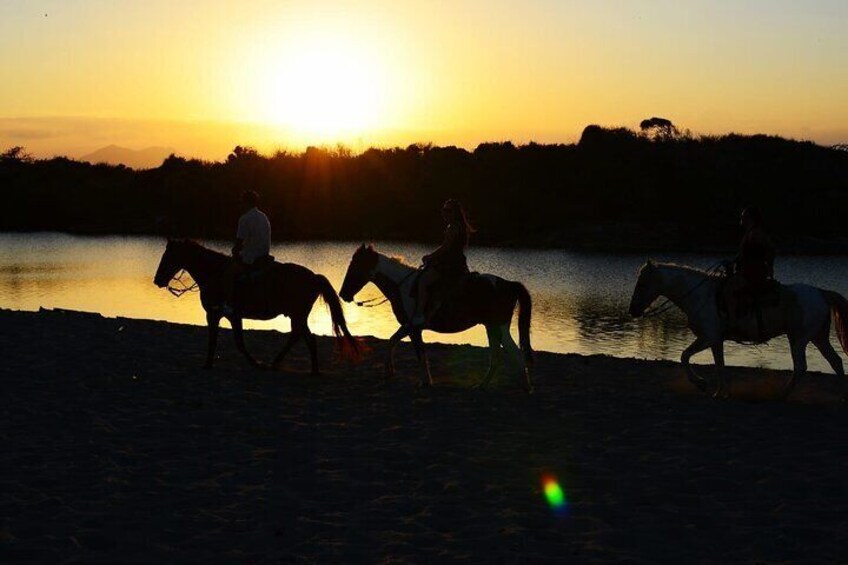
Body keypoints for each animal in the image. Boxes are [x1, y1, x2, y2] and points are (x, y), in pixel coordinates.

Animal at [152, 240, 358, 372]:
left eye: (167, 257)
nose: (157, 280)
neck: (215, 272)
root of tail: (314, 277)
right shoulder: (228, 316)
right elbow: (228, 340)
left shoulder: (218, 314)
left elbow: (230, 342)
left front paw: (211, 364)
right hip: (297, 315)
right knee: (303, 337)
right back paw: (307, 368)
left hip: (297, 315)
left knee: (301, 337)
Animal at [336, 245, 528, 390]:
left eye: (355, 267)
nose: (343, 294)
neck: (403, 286)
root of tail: (509, 284)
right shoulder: (409, 326)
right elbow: (393, 341)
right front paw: (389, 371)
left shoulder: (412, 327)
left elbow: (418, 352)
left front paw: (424, 382)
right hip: (492, 328)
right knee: (496, 357)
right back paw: (483, 385)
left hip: (499, 327)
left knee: (515, 354)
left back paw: (526, 388)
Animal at [628, 258, 848, 396]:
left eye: (642, 284)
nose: (633, 310)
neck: (700, 295)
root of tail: (821, 293)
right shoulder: (715, 340)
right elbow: (720, 365)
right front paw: (720, 392)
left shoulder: (707, 337)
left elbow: (684, 356)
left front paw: (701, 383)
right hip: (818, 337)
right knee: (836, 362)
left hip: (799, 339)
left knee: (801, 367)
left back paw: (782, 394)